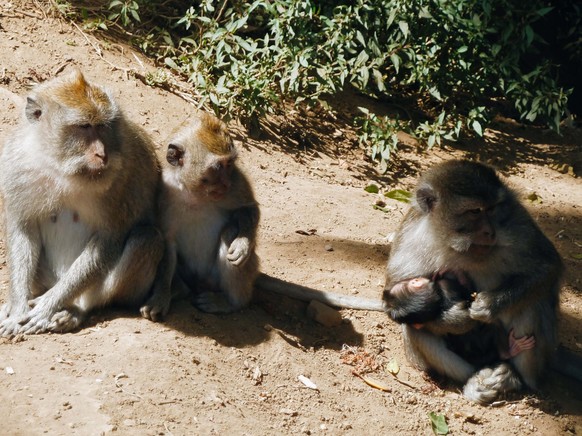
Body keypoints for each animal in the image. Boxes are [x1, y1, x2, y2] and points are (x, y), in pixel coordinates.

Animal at [0, 69, 164, 338]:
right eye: (84, 127)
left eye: (102, 127)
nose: (101, 154)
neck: (59, 167)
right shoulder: (15, 163)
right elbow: (23, 230)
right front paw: (17, 309)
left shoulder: (122, 178)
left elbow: (109, 238)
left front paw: (47, 307)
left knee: (146, 238)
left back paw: (75, 310)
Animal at [141, 110, 260, 318]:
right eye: (218, 167)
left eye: (230, 164)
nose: (226, 184)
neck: (193, 192)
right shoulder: (162, 192)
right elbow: (167, 242)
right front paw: (160, 296)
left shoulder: (236, 183)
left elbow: (249, 208)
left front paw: (243, 244)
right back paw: (180, 290)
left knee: (230, 231)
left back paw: (231, 303)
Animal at [384, 161, 564, 406]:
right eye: (474, 211)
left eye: (492, 208)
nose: (490, 232)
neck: (451, 242)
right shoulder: (409, 237)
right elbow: (394, 292)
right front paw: (458, 319)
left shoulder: (517, 225)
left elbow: (547, 266)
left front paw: (489, 305)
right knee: (415, 330)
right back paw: (475, 382)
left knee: (529, 306)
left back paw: (514, 377)